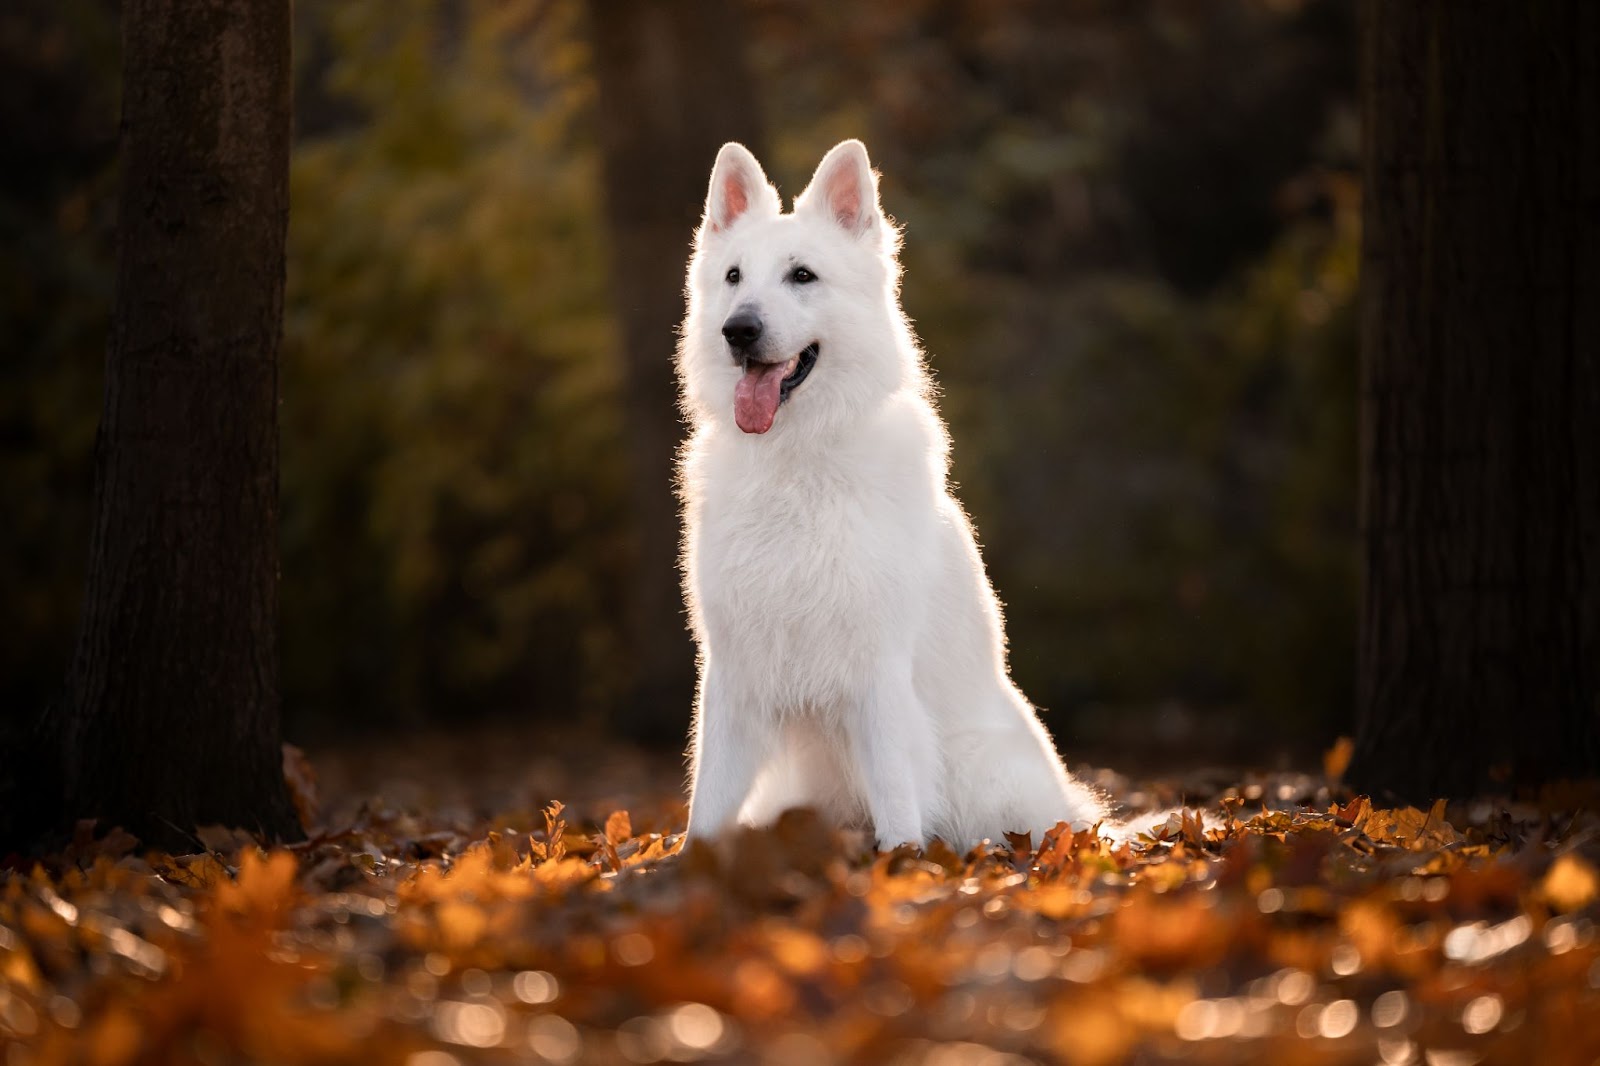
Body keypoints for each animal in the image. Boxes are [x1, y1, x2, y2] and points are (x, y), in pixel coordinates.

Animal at [668, 139, 1107, 845]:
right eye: (733, 277)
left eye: (802, 276)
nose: (738, 330)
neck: (798, 460)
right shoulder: (734, 674)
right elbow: (706, 809)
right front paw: (688, 864)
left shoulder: (876, 671)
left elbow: (898, 799)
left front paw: (902, 862)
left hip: (982, 775)